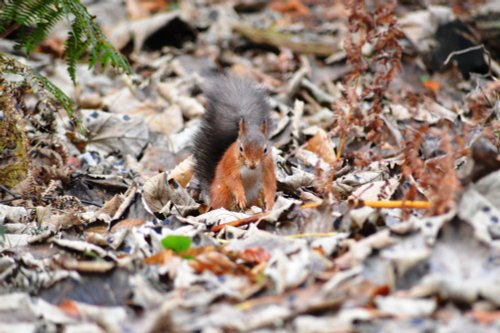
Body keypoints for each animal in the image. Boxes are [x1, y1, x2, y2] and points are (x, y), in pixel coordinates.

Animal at [192, 75, 278, 210]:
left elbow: (270, 183)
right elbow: (232, 180)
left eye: (265, 149)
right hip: (223, 192)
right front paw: (241, 197)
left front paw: (270, 202)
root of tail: (210, 196)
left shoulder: (268, 165)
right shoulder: (230, 164)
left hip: (256, 193)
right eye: (241, 148)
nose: (253, 165)